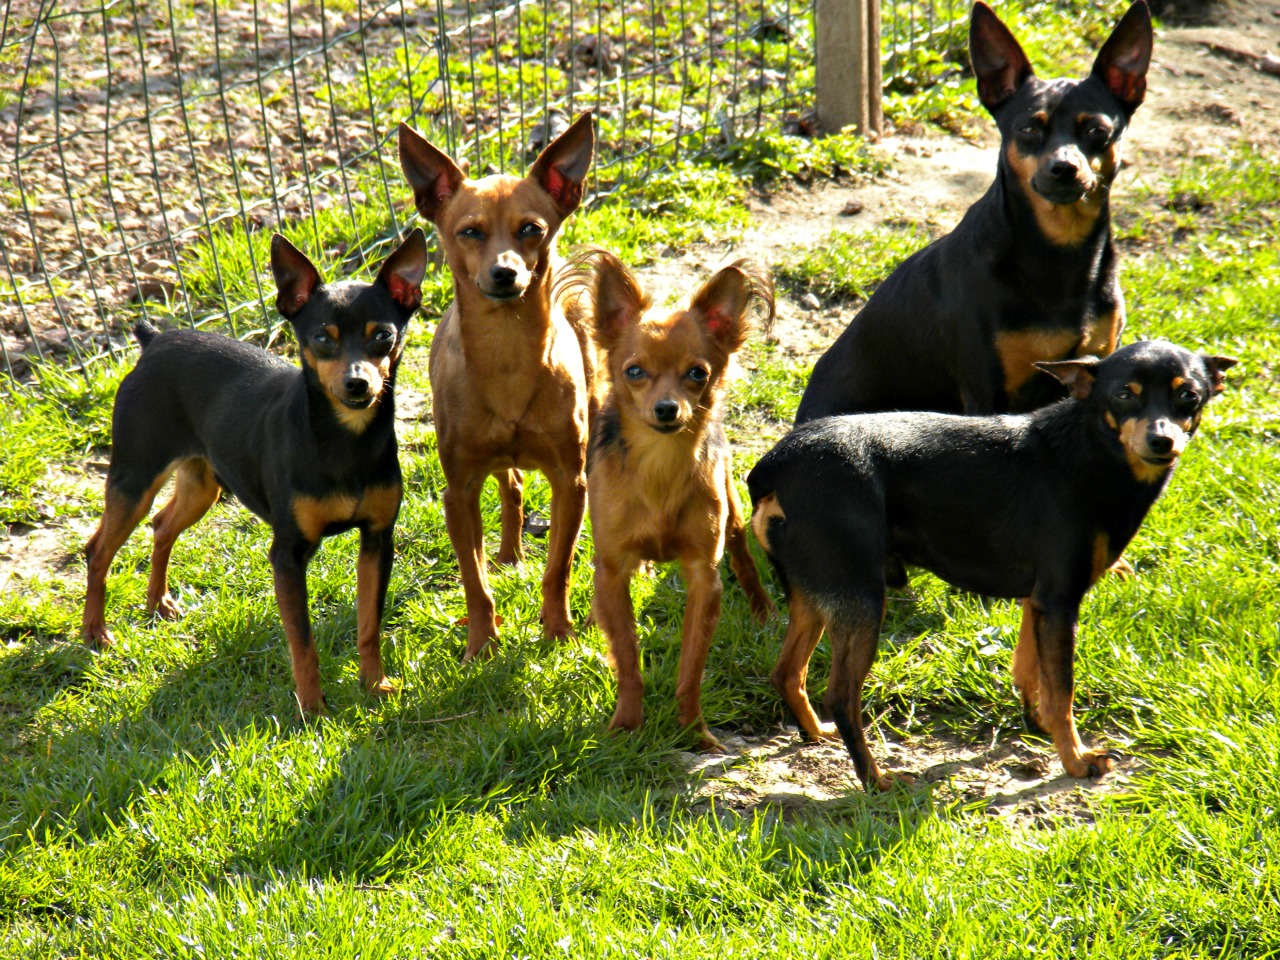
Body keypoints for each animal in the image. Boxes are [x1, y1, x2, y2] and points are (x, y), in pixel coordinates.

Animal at [82, 231, 427, 716]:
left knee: (162, 525)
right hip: (135, 476)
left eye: (383, 336)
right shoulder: (288, 555)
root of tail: (155, 341)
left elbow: (369, 626)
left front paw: (374, 685)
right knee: (98, 550)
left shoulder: (378, 540)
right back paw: (94, 632)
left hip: (202, 484)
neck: (345, 440)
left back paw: (157, 603)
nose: (358, 383)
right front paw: (312, 709)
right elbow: (303, 643)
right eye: (321, 337)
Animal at [568, 252, 768, 757]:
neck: (659, 465)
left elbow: (691, 667)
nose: (666, 409)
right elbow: (627, 656)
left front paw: (692, 730)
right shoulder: (612, 569)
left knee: (745, 559)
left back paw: (764, 613)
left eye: (698, 373)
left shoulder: (703, 577)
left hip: (733, 513)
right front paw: (626, 726)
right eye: (634, 371)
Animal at [747, 343, 1233, 793]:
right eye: (1124, 395)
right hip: (862, 599)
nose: (1162, 441)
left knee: (787, 673)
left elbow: (1031, 672)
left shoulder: (1037, 601)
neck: (1091, 450)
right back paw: (877, 780)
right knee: (841, 697)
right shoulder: (1060, 601)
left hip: (814, 594)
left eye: (1189, 396)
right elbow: (1063, 690)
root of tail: (772, 468)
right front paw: (1076, 760)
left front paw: (1039, 725)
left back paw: (816, 733)